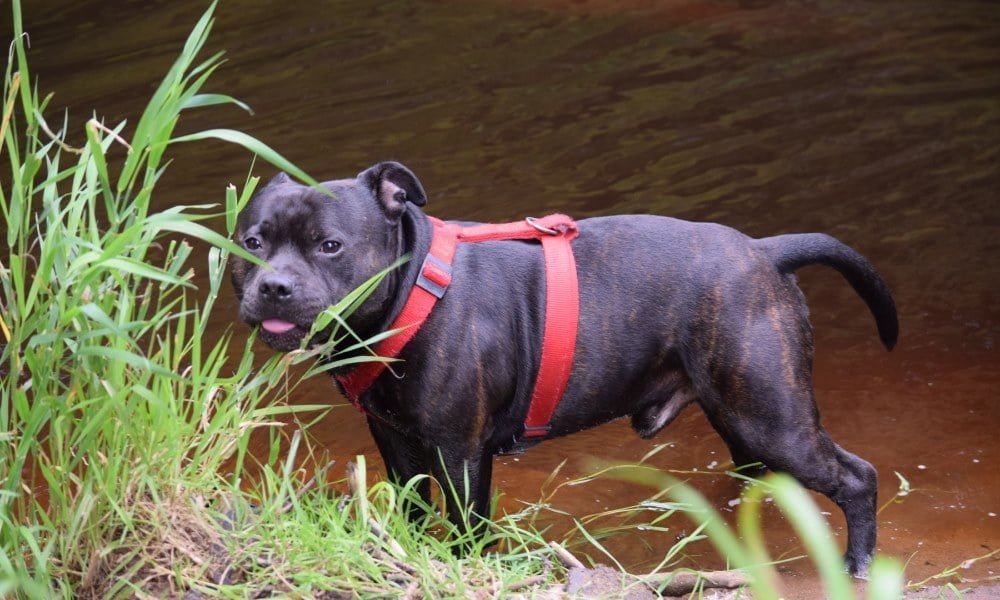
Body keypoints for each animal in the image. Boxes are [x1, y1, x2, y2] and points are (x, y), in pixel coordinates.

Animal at [232, 161, 900, 576]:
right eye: (252, 242)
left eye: (330, 246)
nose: (274, 287)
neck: (415, 290)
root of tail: (765, 251)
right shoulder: (396, 440)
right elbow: (416, 511)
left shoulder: (460, 451)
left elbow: (468, 526)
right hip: (744, 417)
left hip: (775, 421)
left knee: (859, 477)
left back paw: (858, 566)